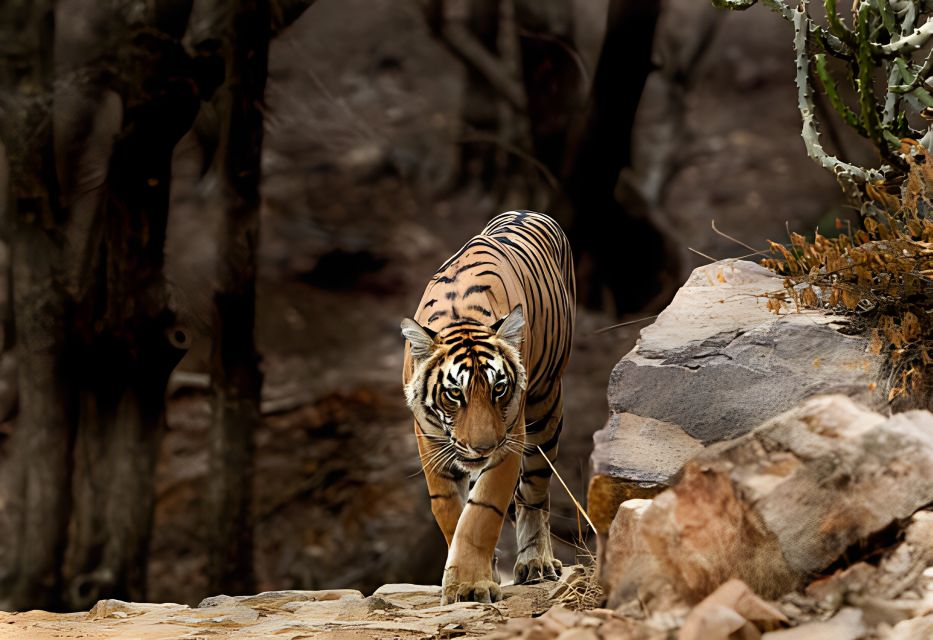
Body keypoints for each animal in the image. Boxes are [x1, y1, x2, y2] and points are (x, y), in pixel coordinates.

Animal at [401, 210, 575, 604]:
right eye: (454, 393)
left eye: (499, 389)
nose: (482, 448)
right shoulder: (428, 438)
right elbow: (450, 509)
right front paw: (471, 577)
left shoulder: (511, 437)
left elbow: (483, 511)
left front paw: (471, 585)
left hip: (546, 409)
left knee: (534, 494)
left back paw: (536, 563)